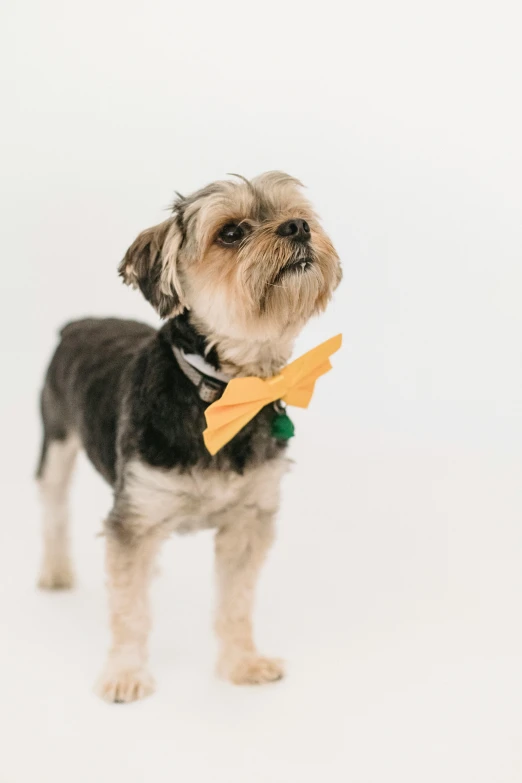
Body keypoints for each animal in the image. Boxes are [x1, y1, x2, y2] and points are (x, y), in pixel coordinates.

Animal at [35, 172, 338, 704]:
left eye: (298, 214)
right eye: (232, 233)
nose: (299, 227)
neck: (222, 391)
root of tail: (77, 324)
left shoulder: (248, 520)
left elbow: (236, 602)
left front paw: (242, 663)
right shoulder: (134, 520)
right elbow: (130, 607)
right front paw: (125, 673)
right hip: (55, 435)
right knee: (53, 504)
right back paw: (55, 573)